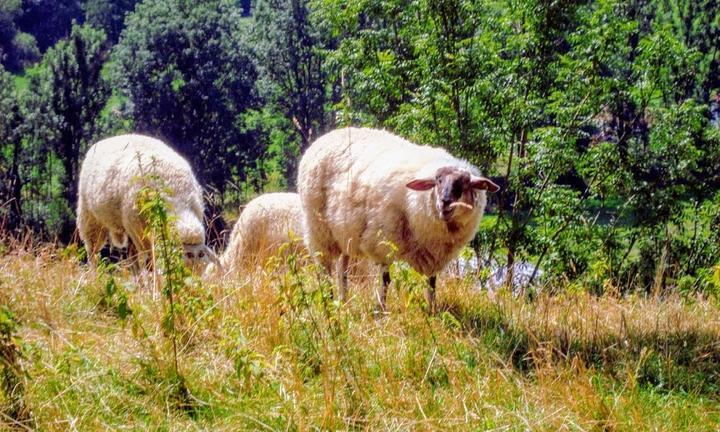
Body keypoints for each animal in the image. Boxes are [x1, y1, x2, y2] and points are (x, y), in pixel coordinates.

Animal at [76, 134, 219, 270]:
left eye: (201, 257)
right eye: (187, 256)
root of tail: (106, 140)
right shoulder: (140, 232)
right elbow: (150, 260)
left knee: (131, 256)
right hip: (91, 219)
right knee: (93, 252)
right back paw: (94, 274)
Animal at [296, 126, 498, 312]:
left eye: (463, 184)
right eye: (438, 181)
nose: (445, 203)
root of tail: (329, 135)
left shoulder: (433, 253)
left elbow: (432, 283)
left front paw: (432, 310)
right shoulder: (382, 242)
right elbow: (385, 280)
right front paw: (381, 311)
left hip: (345, 233)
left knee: (342, 269)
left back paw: (344, 301)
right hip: (319, 229)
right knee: (325, 268)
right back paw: (329, 301)